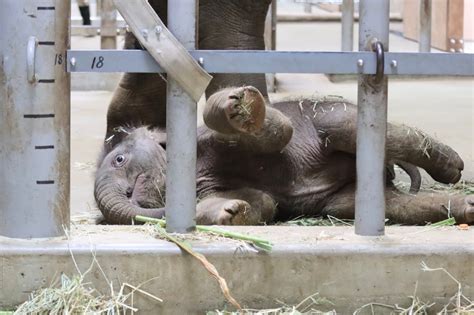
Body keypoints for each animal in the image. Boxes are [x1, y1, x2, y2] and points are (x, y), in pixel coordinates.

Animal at [93, 86, 474, 227]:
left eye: (119, 160)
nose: (131, 195)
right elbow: (263, 202)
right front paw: (233, 212)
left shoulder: (205, 138)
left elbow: (282, 133)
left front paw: (237, 106)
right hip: (349, 197)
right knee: (384, 204)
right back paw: (466, 207)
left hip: (331, 113)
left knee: (348, 128)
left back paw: (453, 168)